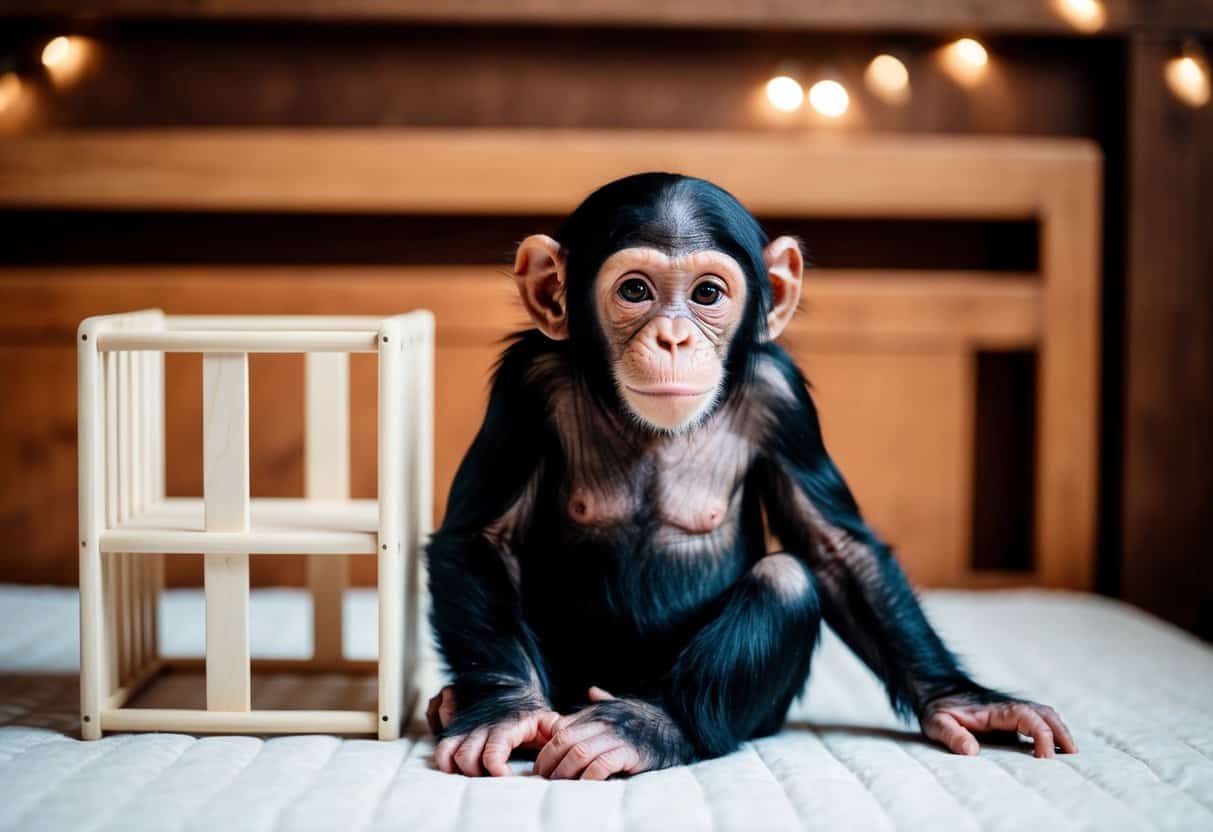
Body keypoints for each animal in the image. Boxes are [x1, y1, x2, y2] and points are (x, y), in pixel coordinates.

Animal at [424, 172, 1076, 780]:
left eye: (707, 293)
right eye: (634, 290)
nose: (673, 337)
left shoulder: (782, 399)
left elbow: (837, 550)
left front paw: (963, 702)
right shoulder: (525, 385)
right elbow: (482, 539)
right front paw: (505, 712)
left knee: (785, 581)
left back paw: (646, 726)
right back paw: (461, 701)